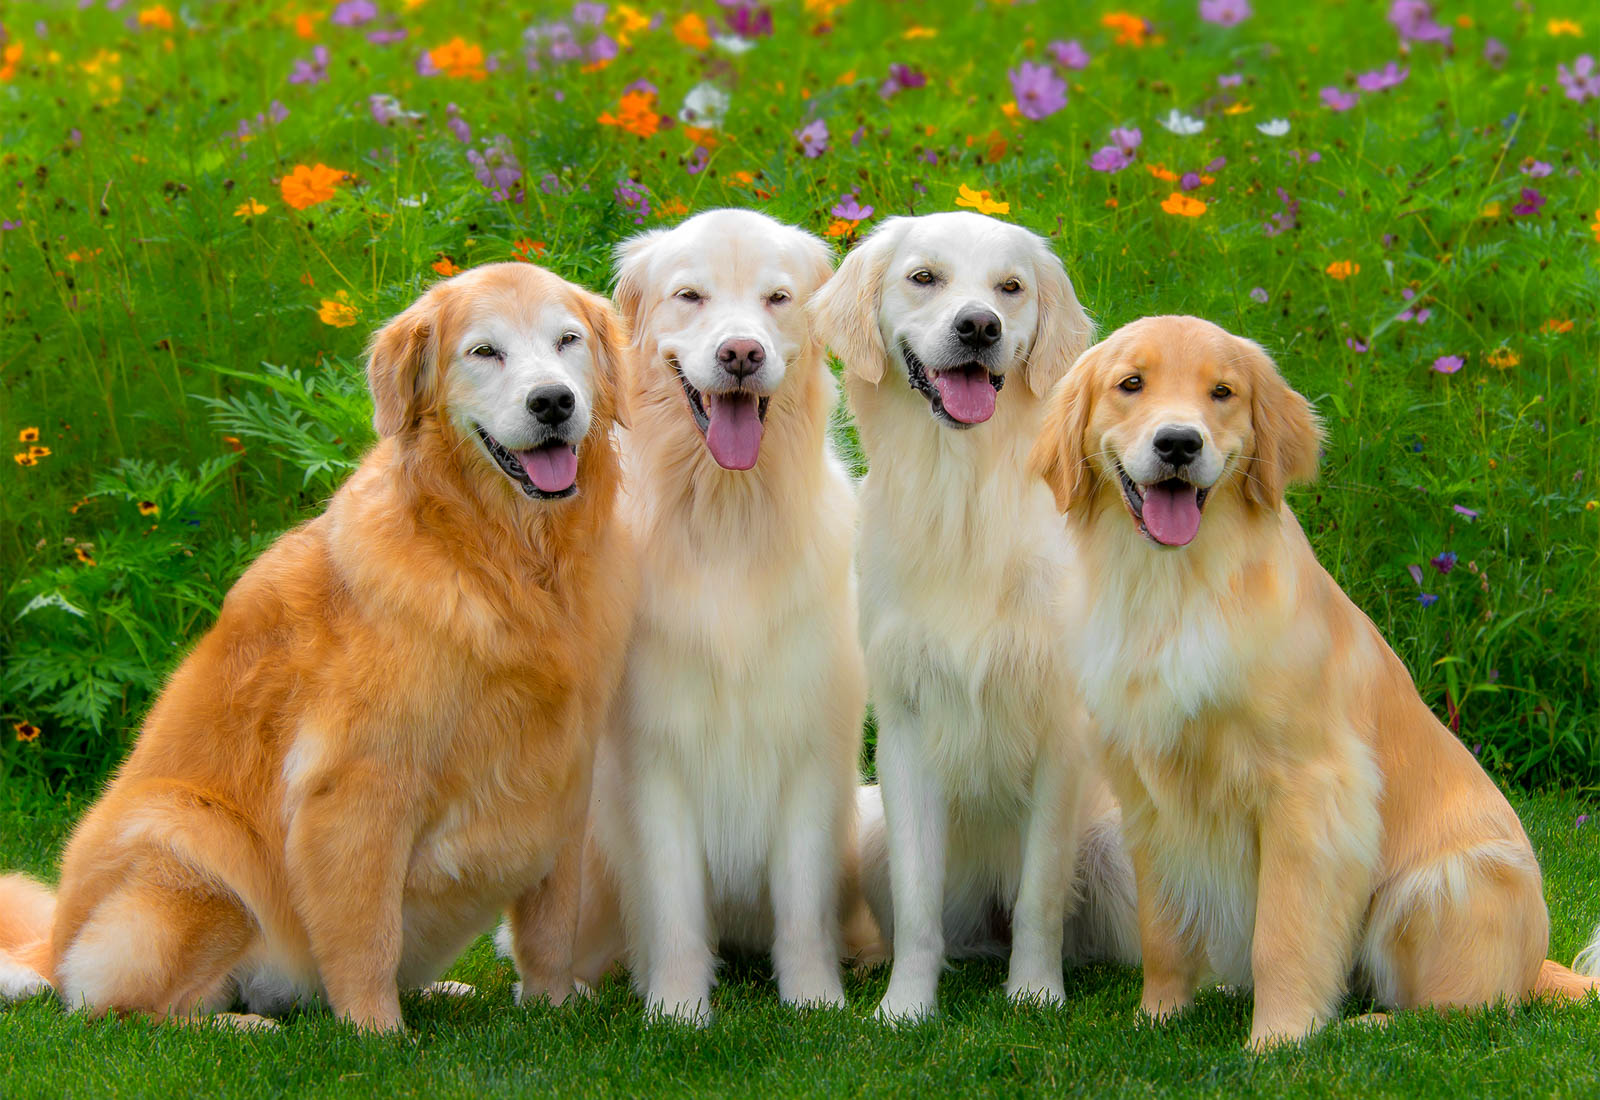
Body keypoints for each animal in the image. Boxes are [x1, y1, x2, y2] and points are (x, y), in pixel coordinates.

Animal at [0, 263, 636, 1029]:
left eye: (567, 340)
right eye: (484, 352)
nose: (553, 402)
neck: (503, 562)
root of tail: (50, 950)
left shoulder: (561, 779)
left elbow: (550, 928)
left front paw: (553, 1008)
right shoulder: (356, 785)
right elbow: (366, 935)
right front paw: (378, 1032)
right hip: (187, 833)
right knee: (121, 1007)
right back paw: (239, 1024)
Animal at [569, 211, 870, 1029]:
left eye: (777, 298)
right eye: (690, 296)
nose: (741, 353)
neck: (728, 518)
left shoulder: (808, 750)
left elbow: (801, 905)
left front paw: (815, 1001)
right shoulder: (657, 755)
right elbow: (675, 907)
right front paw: (676, 1008)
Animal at [819, 214, 1145, 1023]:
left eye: (1011, 287)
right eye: (924, 277)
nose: (979, 326)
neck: (961, 494)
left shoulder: (1061, 730)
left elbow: (1039, 897)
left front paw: (1034, 995)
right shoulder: (905, 726)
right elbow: (918, 906)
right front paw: (906, 1006)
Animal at [1024, 311, 1600, 1048]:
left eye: (1223, 392)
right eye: (1131, 384)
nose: (1179, 443)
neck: (1177, 588)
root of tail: (1537, 964)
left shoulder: (1310, 791)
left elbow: (1285, 932)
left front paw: (1280, 1038)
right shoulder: (1150, 795)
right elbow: (1164, 930)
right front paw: (1158, 1016)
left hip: (1443, 883)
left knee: (1466, 1008)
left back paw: (1368, 1024)